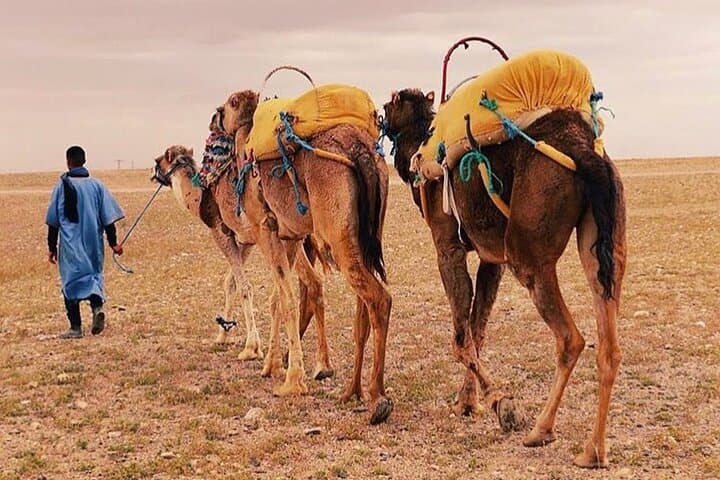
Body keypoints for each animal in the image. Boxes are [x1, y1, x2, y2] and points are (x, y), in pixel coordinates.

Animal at [151, 119, 334, 380]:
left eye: (161, 160)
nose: (154, 172)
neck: (201, 196)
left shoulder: (221, 233)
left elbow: (244, 286)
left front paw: (251, 347)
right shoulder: (246, 240)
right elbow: (231, 282)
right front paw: (223, 333)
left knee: (308, 282)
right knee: (314, 283)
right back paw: (314, 361)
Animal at [218, 89, 393, 424]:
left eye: (227, 106)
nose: (215, 119)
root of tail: (360, 149)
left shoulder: (265, 229)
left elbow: (286, 299)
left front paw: (291, 381)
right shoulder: (290, 236)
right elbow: (279, 298)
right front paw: (272, 366)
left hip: (336, 235)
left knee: (379, 298)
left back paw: (377, 397)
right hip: (365, 233)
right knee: (362, 309)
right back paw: (350, 391)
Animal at [382, 89, 626, 467]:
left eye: (388, 105)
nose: (377, 117)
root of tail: (585, 151)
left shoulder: (447, 244)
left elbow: (461, 337)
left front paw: (502, 404)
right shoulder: (490, 258)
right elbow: (477, 329)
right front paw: (468, 402)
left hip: (528, 251)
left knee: (570, 338)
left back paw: (541, 430)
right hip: (605, 242)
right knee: (609, 344)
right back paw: (593, 451)